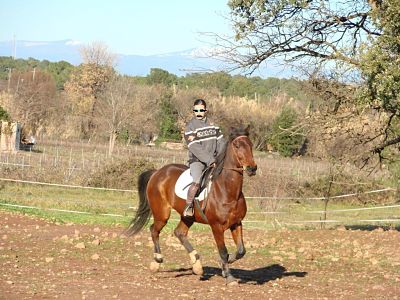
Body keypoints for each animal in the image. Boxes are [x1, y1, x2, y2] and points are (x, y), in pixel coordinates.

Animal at [125, 125, 258, 284]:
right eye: (237, 145)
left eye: (250, 145)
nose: (252, 168)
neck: (228, 191)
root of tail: (157, 172)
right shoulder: (217, 227)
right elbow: (223, 251)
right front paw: (229, 276)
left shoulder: (236, 223)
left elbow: (240, 251)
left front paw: (225, 265)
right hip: (162, 213)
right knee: (154, 230)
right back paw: (157, 261)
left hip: (187, 217)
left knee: (179, 233)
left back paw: (197, 264)